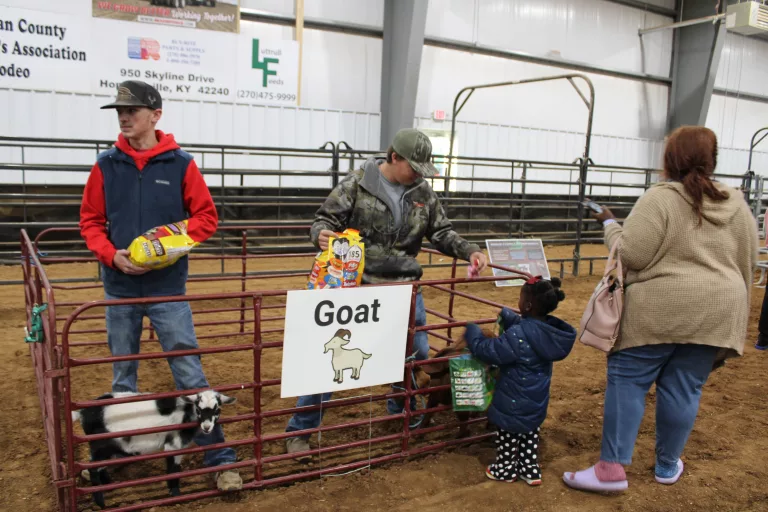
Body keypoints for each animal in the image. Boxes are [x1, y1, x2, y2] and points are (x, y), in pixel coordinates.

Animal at [72, 390, 236, 506]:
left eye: (217, 410)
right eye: (199, 409)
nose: (207, 427)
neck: (186, 413)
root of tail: (83, 412)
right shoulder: (174, 445)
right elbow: (173, 470)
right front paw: (175, 494)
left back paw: (108, 485)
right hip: (101, 445)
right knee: (94, 468)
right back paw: (101, 502)